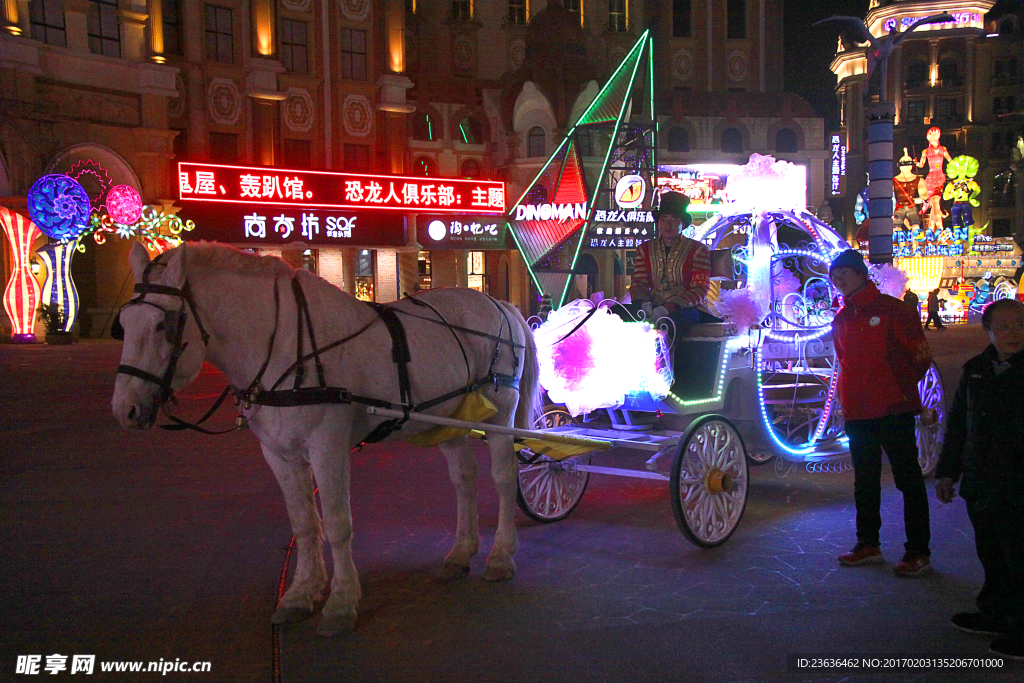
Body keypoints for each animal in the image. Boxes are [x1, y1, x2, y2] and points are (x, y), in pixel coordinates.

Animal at [110, 242, 544, 638]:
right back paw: (460, 552)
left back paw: (500, 555)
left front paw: (340, 602)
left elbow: (336, 523)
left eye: (163, 326)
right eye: (123, 324)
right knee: (464, 479)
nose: (124, 408)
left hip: (500, 414)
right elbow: (303, 523)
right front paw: (300, 593)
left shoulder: (328, 449)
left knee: (504, 479)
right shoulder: (279, 454)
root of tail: (498, 303)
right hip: (447, 417)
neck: (286, 347)